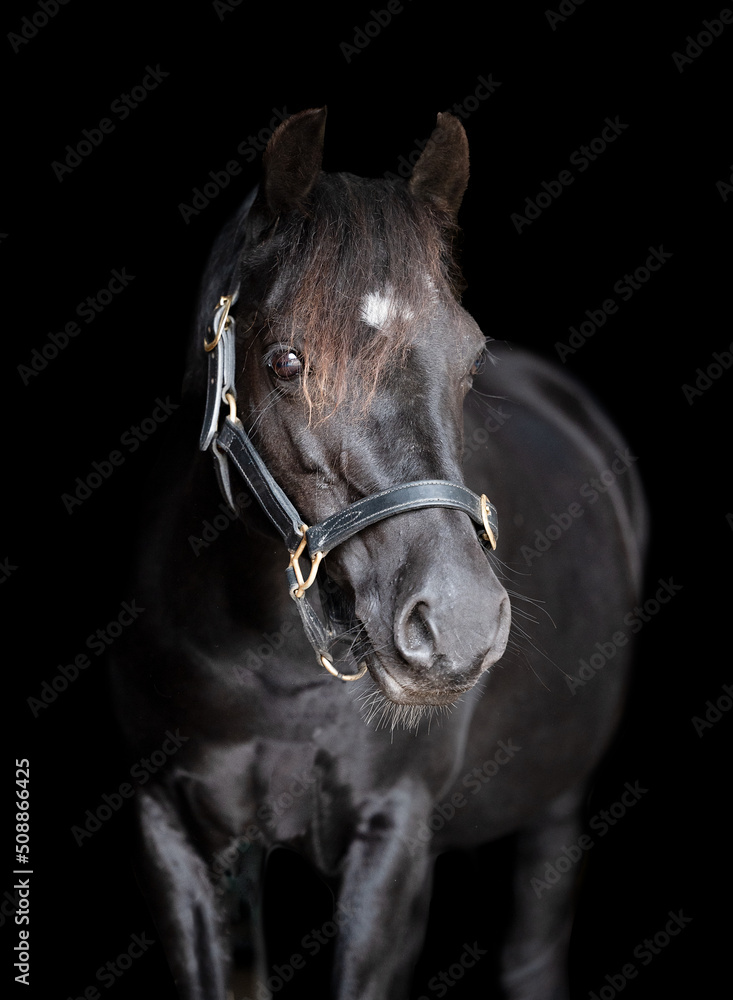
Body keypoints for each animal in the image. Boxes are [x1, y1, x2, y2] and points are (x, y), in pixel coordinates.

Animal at [110, 107, 647, 1000]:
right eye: (286, 360)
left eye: (470, 359)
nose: (459, 624)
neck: (264, 665)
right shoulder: (172, 835)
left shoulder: (392, 841)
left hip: (555, 808)